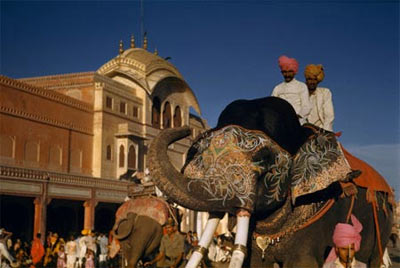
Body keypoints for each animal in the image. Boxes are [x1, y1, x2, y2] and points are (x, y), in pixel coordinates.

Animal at [148, 97, 394, 268]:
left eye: (265, 161)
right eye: (201, 153)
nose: (187, 129)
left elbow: (303, 263)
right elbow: (257, 262)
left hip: (383, 224)